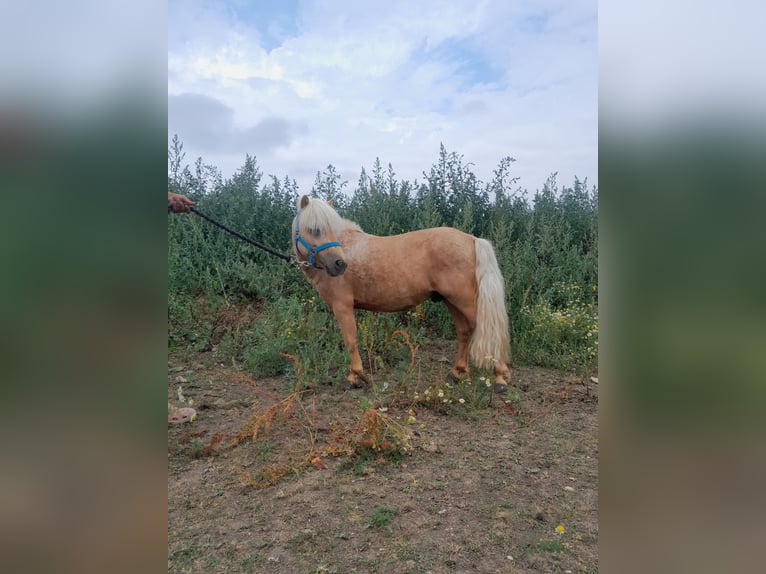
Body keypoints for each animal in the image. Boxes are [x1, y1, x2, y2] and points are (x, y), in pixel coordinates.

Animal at [292, 196, 512, 394]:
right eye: (314, 229)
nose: (339, 265)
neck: (347, 246)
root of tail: (472, 239)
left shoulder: (343, 306)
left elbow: (351, 341)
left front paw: (354, 376)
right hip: (453, 302)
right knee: (465, 331)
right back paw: (457, 372)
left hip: (465, 302)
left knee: (492, 332)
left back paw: (500, 378)